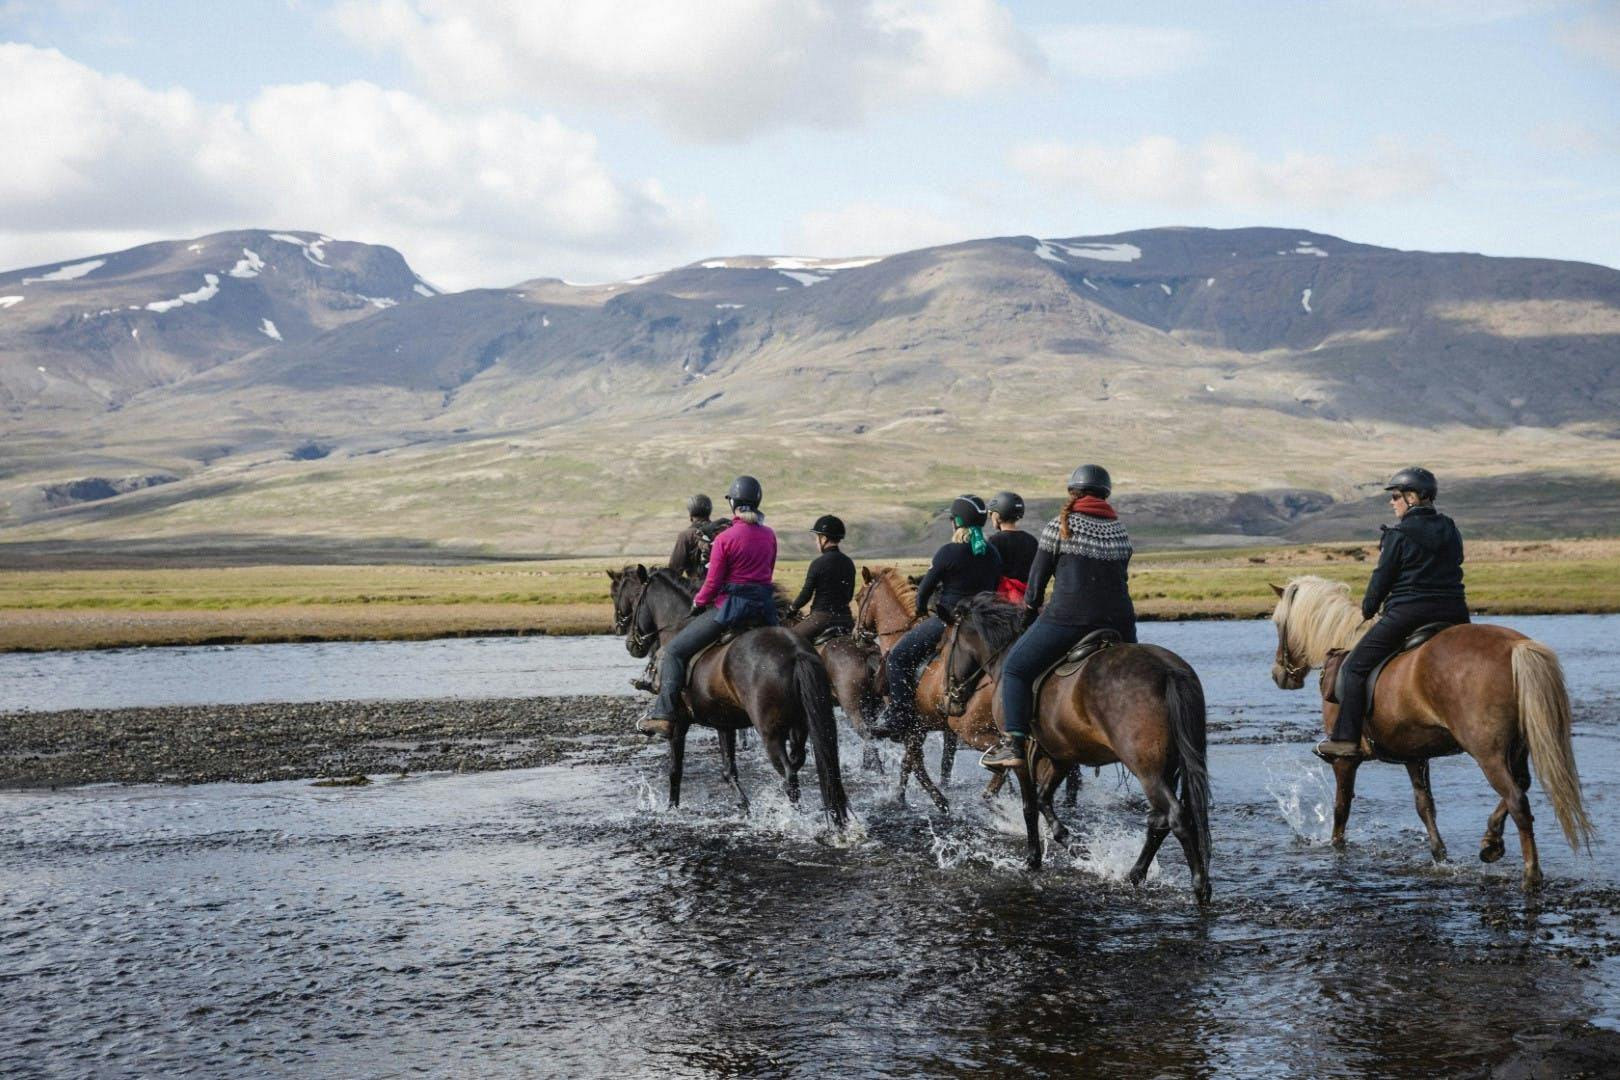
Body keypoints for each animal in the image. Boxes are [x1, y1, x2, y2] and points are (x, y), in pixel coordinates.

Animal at [618, 566, 855, 829]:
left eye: (633, 598)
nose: (630, 643)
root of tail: (795, 651)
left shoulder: (679, 723)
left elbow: (675, 770)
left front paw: (672, 809)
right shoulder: (724, 723)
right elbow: (728, 770)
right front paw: (746, 807)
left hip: (771, 732)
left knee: (788, 774)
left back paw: (794, 819)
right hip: (800, 725)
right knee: (798, 762)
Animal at [939, 595, 1218, 900]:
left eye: (946, 645)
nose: (948, 702)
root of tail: (1168, 671)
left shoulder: (1023, 757)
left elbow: (1029, 805)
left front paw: (1033, 859)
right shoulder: (1061, 756)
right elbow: (1043, 799)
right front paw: (1076, 847)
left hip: (1148, 771)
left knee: (1176, 817)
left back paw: (1199, 886)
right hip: (1168, 767)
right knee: (1159, 821)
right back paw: (1135, 874)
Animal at [1263, 573, 1594, 887]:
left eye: (1278, 623)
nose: (1279, 674)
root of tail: (1516, 647)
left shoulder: (1346, 760)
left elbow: (1341, 808)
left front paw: (1337, 849)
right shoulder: (1414, 755)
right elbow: (1425, 806)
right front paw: (1440, 855)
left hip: (1488, 754)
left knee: (1517, 800)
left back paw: (1530, 874)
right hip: (1516, 748)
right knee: (1521, 786)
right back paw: (1490, 842)